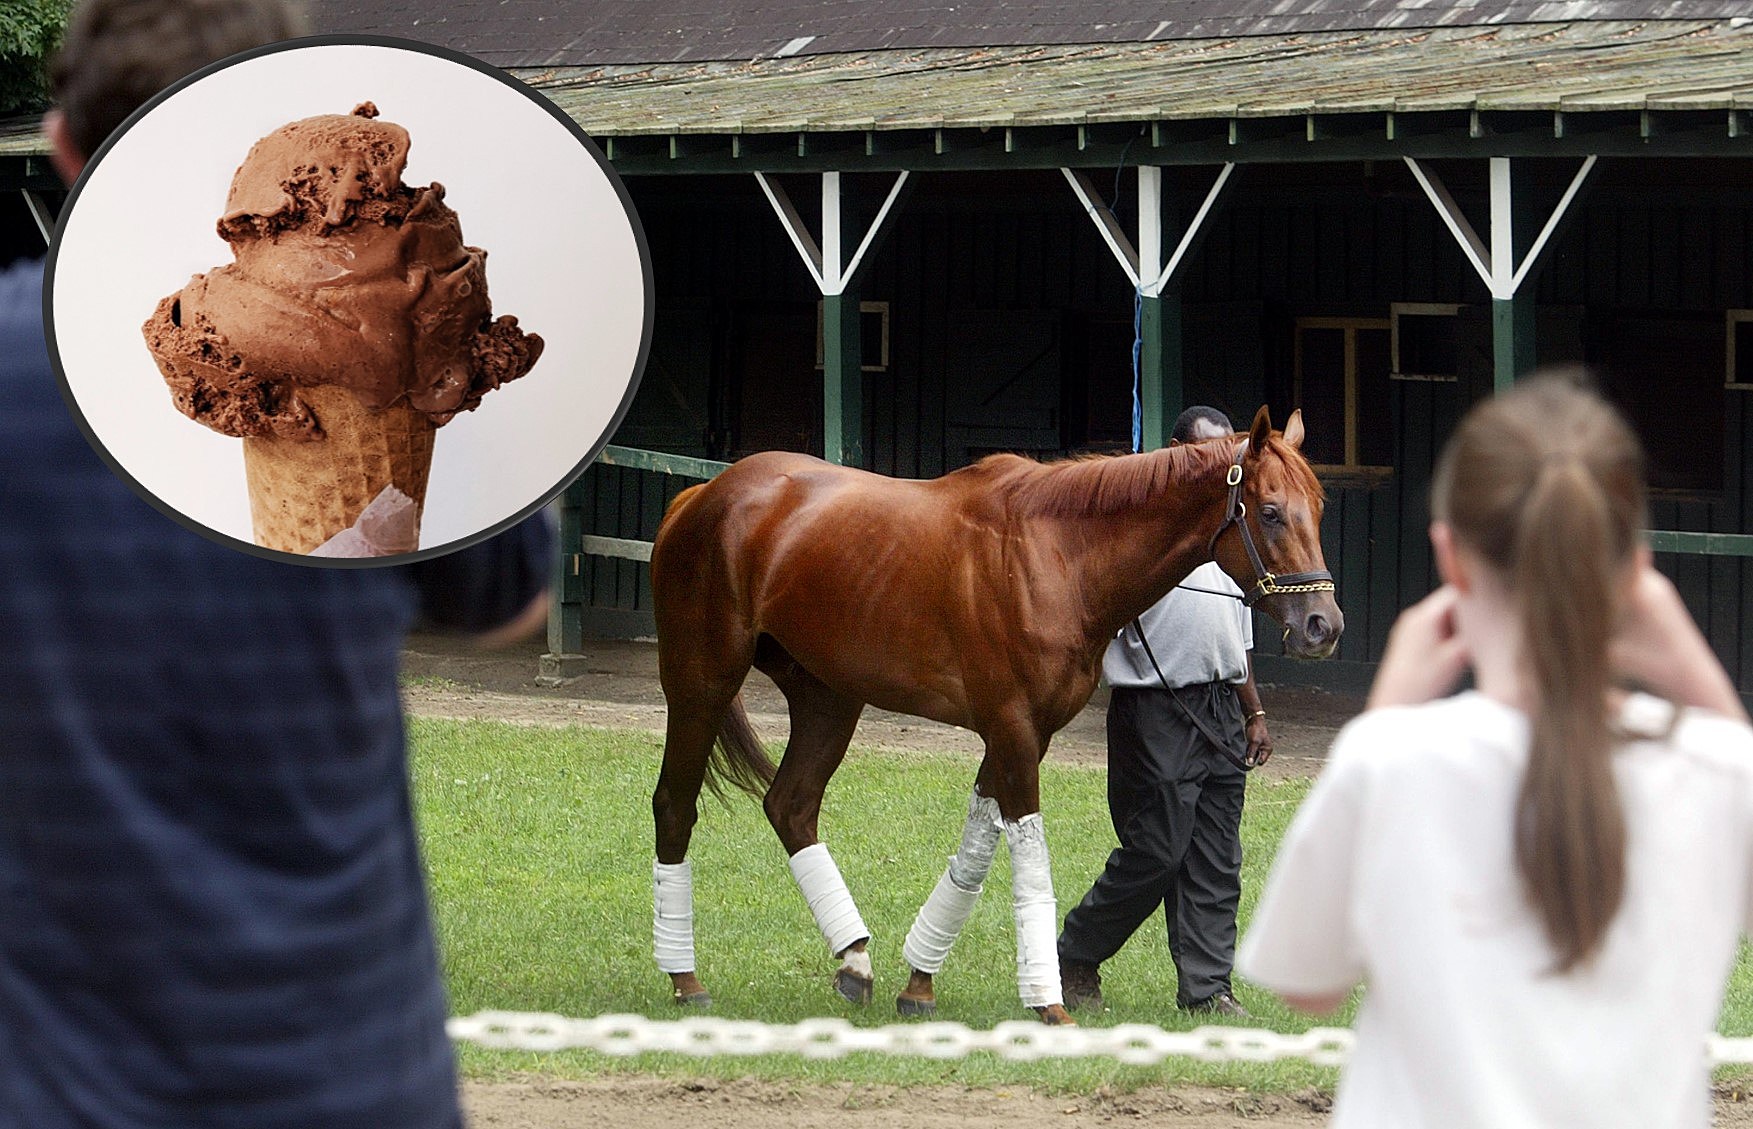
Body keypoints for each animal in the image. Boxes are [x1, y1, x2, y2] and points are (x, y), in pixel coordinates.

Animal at [645, 404, 1339, 1023]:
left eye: (1319, 509)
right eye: (1270, 511)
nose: (1323, 626)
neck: (1058, 554)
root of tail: (703, 495)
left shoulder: (1023, 735)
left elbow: (976, 852)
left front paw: (919, 985)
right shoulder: (1012, 728)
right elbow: (1028, 855)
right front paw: (1049, 1002)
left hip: (829, 698)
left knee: (790, 805)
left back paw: (855, 961)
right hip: (702, 683)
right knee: (675, 805)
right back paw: (685, 979)